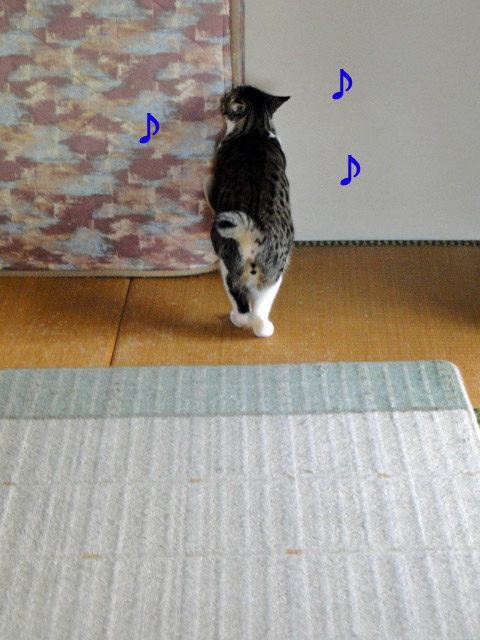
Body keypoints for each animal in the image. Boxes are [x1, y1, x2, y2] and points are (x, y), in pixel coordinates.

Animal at [208, 85, 294, 338]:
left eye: (230, 95)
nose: (224, 94)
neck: (255, 129)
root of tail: (256, 233)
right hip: (274, 272)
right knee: (258, 310)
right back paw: (264, 329)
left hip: (228, 264)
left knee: (245, 309)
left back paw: (237, 319)